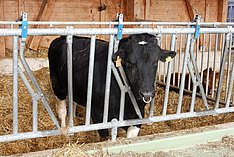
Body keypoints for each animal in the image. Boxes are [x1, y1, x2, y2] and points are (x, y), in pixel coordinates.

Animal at [47, 33, 176, 139]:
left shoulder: (137, 117)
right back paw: (66, 132)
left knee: (73, 102)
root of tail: (60, 38)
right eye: (130, 63)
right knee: (62, 109)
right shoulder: (98, 115)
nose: (147, 93)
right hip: (57, 86)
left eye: (155, 62)